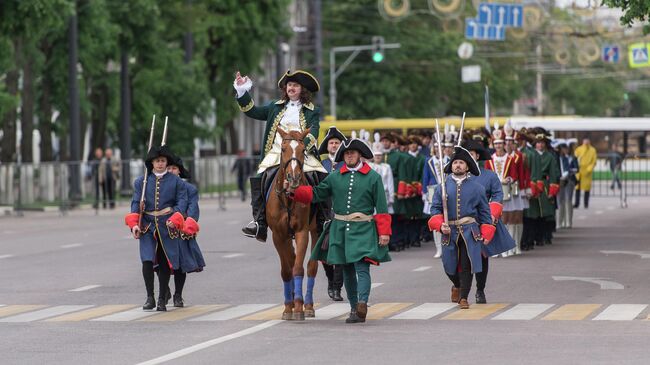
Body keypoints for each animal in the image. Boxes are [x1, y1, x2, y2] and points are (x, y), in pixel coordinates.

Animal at [266, 127, 318, 318]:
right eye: (283, 149)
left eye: (303, 150)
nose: (293, 177)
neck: (288, 197)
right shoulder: (278, 235)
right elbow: (286, 270)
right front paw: (288, 307)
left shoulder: (302, 231)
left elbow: (298, 268)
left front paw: (299, 307)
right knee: (292, 259)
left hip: (316, 231)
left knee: (311, 266)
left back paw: (307, 305)